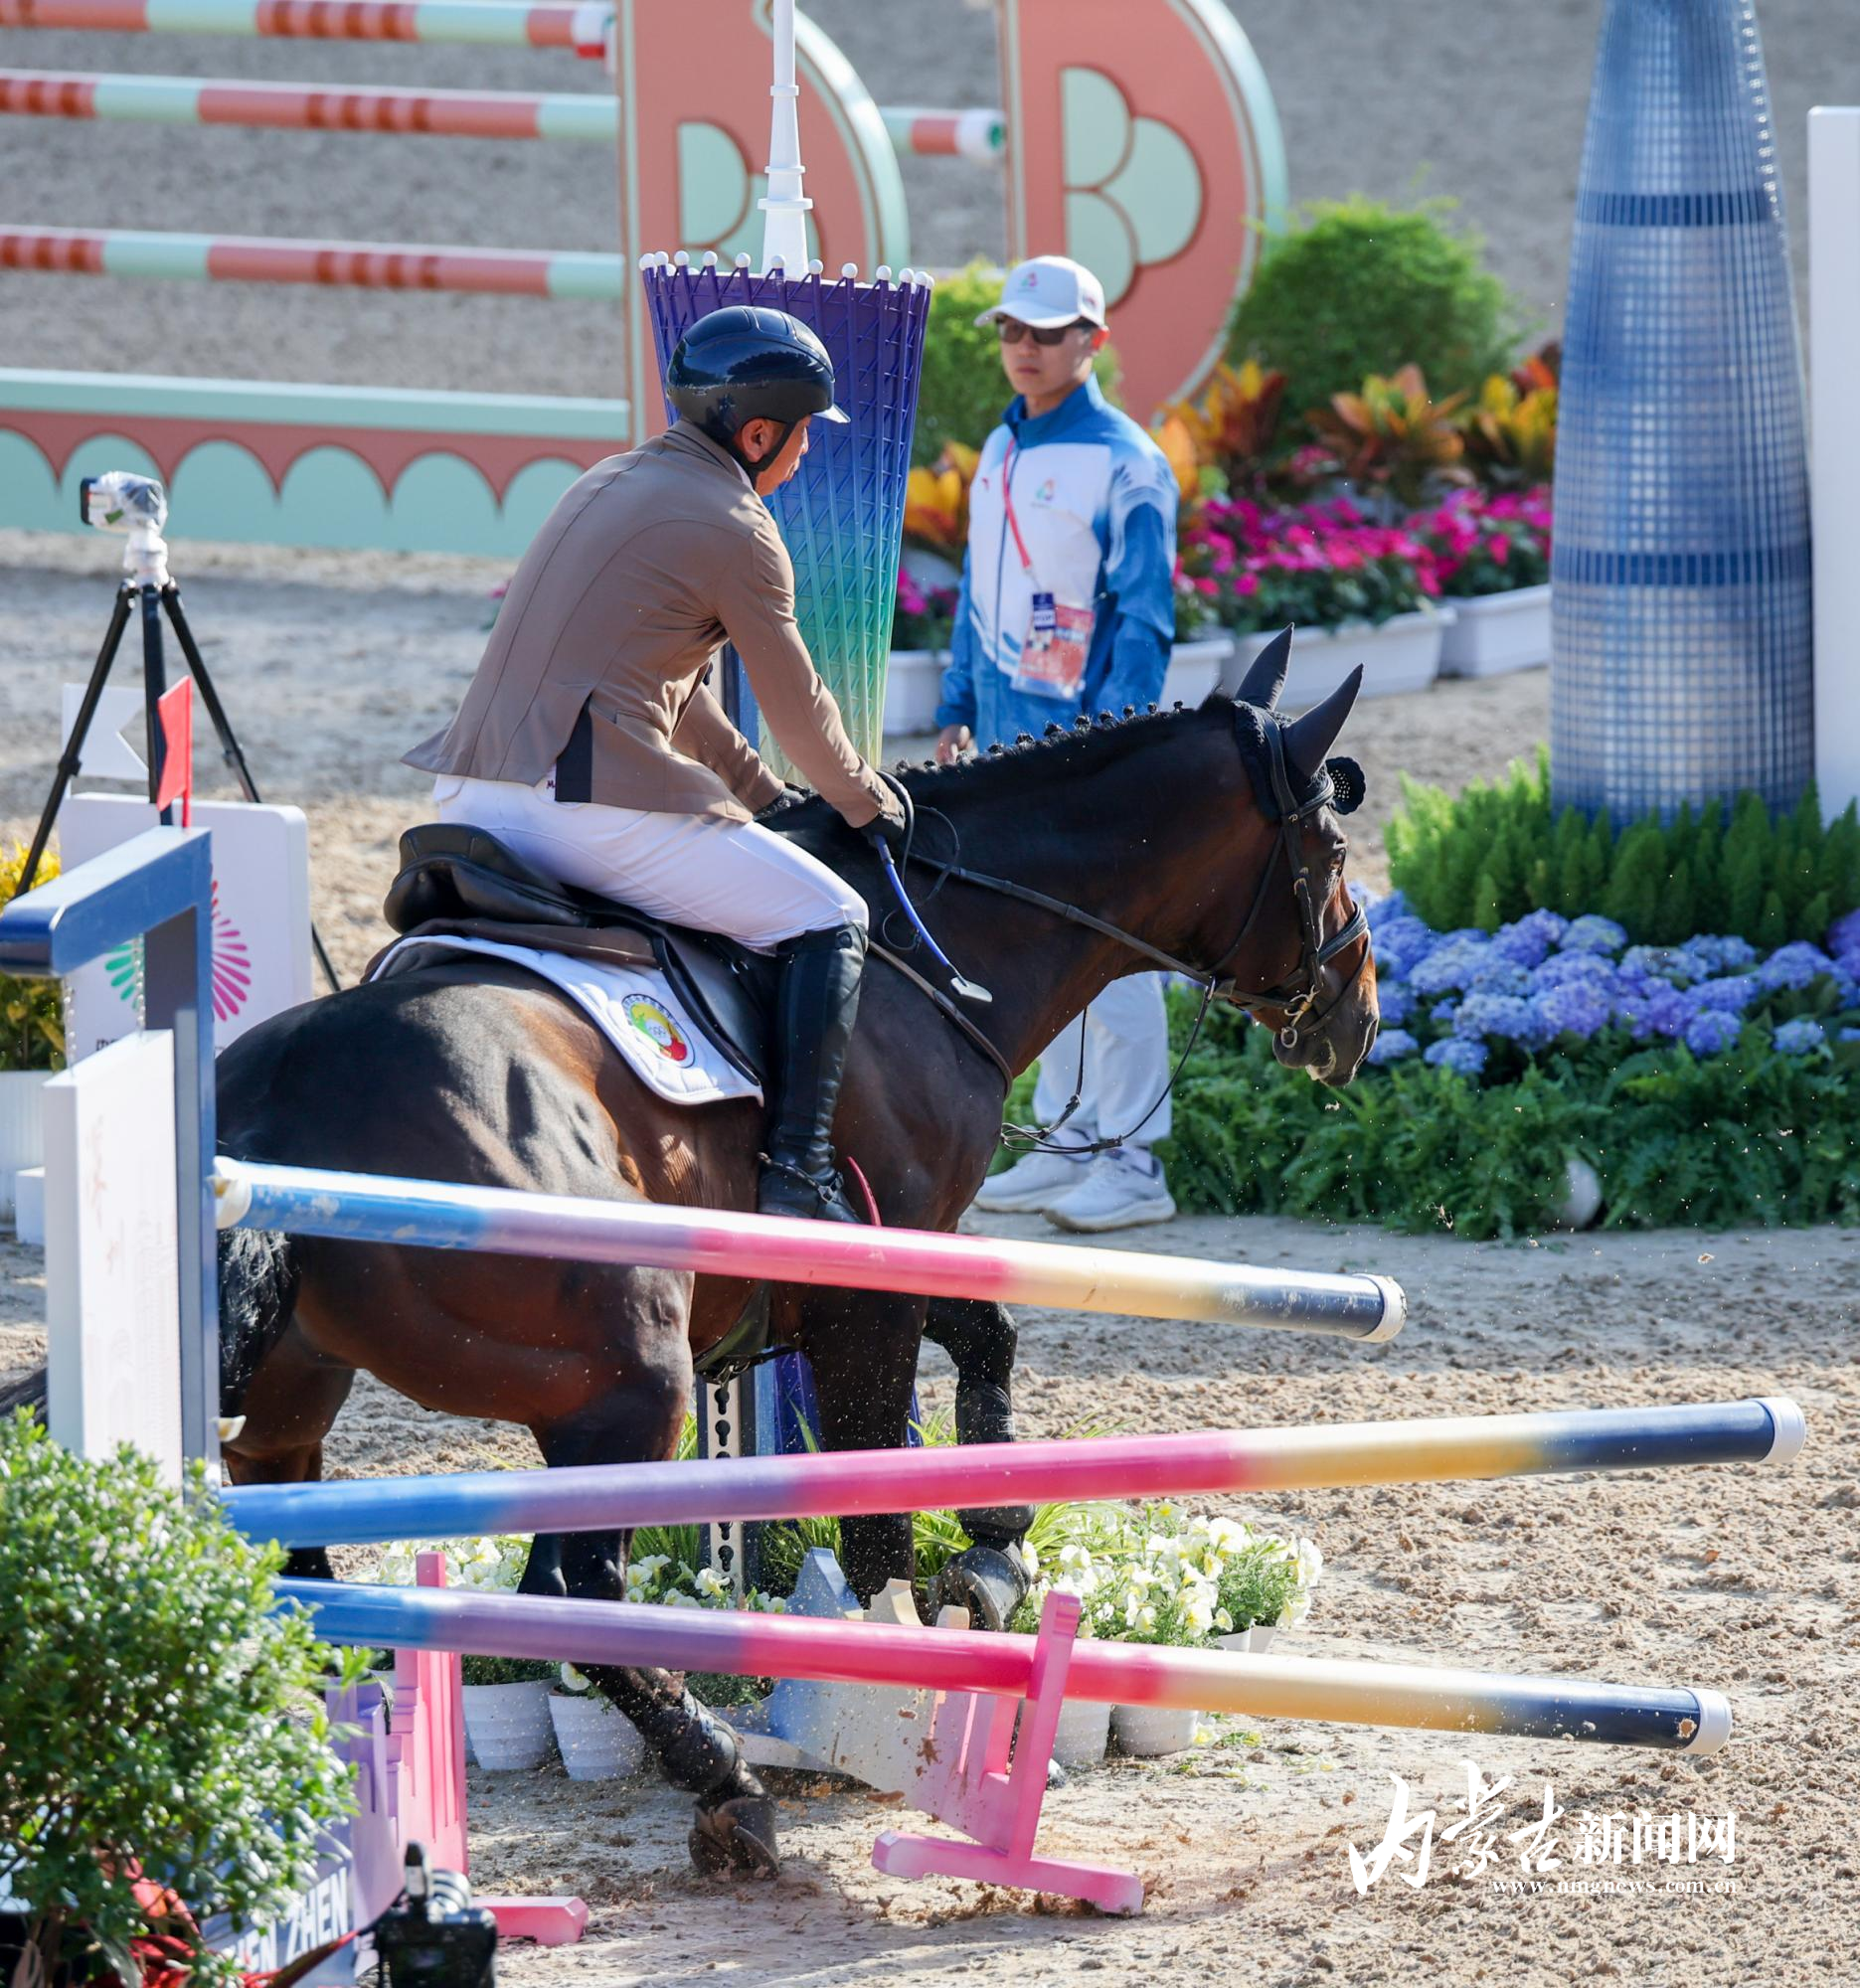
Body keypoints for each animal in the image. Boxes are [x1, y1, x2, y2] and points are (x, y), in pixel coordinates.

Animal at [204, 633, 1379, 1874]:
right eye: (1331, 848)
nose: (1356, 1012)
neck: (939, 947)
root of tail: (285, 1107)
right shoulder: (870, 1282)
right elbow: (875, 1521)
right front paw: (911, 1677)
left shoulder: (875, 1264)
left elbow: (989, 1339)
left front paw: (994, 1556)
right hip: (627, 1381)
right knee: (581, 1590)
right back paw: (722, 1779)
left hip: (293, 1404)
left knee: (304, 1576)